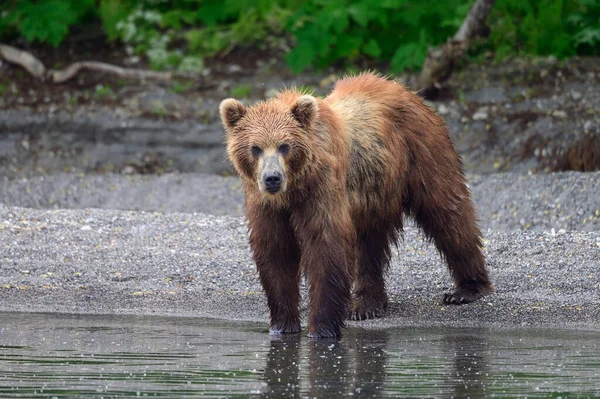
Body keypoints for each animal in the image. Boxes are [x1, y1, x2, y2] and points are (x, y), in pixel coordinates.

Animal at [220, 72, 492, 340]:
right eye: (255, 148)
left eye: (284, 146)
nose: (272, 178)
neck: (294, 189)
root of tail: (405, 90)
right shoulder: (265, 204)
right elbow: (275, 251)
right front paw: (282, 325)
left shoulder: (323, 187)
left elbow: (327, 247)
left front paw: (321, 329)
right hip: (374, 189)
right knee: (370, 243)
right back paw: (366, 304)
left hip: (423, 151)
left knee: (447, 212)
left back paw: (466, 289)